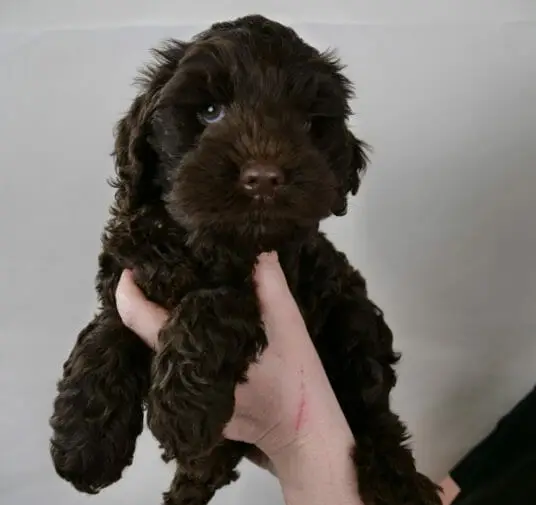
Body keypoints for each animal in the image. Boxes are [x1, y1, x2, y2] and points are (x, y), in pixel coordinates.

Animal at [48, 14, 442, 504]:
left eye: (307, 123)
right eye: (209, 111)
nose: (264, 178)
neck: (198, 243)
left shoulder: (279, 274)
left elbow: (216, 303)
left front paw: (181, 410)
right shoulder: (125, 278)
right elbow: (104, 335)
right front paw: (83, 442)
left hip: (355, 326)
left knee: (374, 413)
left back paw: (398, 482)